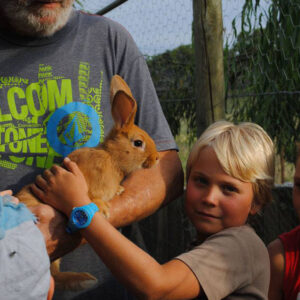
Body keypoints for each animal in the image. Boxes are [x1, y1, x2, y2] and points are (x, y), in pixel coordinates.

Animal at [15, 74, 159, 290]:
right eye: (138, 143)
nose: (157, 158)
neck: (112, 157)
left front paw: (119, 189)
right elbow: (91, 197)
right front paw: (104, 208)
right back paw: (83, 280)